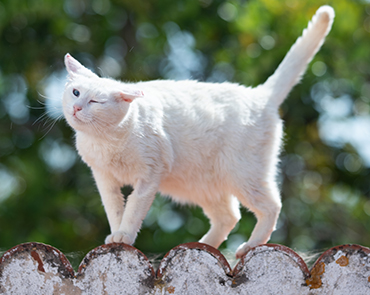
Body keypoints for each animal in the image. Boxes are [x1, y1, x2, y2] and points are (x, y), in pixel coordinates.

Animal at [62, 5, 334, 258]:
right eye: (76, 92)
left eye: (95, 101)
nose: (76, 107)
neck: (107, 140)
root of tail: (259, 95)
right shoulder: (104, 178)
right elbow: (114, 209)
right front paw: (116, 235)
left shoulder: (149, 176)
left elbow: (133, 209)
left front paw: (124, 235)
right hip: (203, 186)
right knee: (229, 216)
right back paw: (203, 246)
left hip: (244, 174)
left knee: (271, 206)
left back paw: (249, 245)